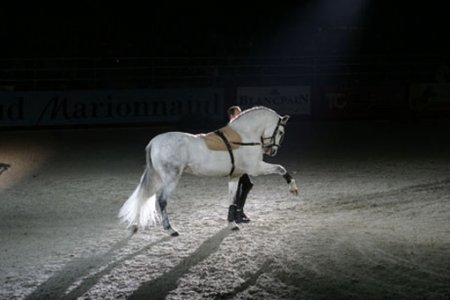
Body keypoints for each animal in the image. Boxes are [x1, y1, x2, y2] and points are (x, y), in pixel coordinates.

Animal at [118, 106, 298, 236]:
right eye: (280, 132)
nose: (271, 151)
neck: (243, 138)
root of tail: (154, 142)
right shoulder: (255, 168)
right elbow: (281, 168)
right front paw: (293, 189)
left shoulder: (235, 175)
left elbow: (232, 199)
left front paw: (232, 224)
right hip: (171, 178)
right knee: (161, 199)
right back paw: (170, 229)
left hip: (157, 177)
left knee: (144, 195)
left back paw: (135, 225)